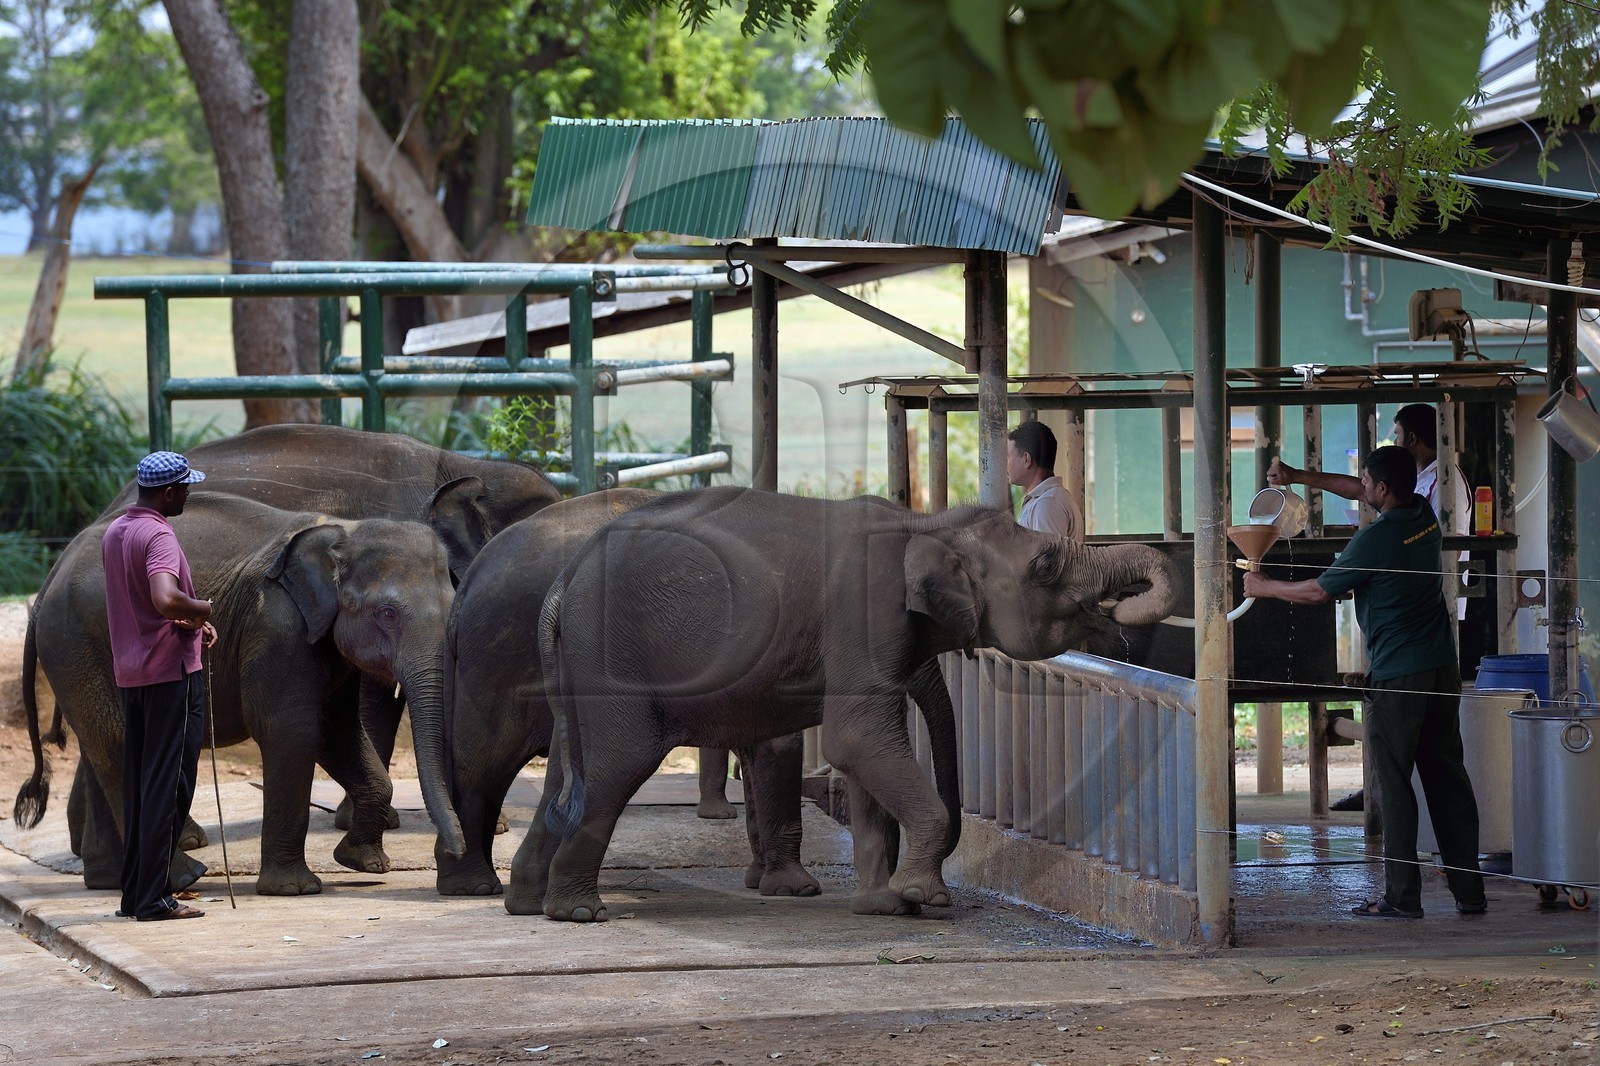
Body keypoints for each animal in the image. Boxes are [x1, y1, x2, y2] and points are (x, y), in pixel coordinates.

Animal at [13, 493, 458, 896]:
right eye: (387, 613)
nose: (453, 852)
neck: (346, 529)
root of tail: (51, 575)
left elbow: (338, 730)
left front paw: (365, 863)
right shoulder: (276, 628)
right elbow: (293, 731)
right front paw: (294, 890)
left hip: (79, 650)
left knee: (101, 742)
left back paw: (108, 881)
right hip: (75, 639)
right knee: (121, 741)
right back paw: (183, 878)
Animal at [431, 488, 963, 903]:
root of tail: (469, 581)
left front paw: (763, 882)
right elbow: (780, 744)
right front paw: (795, 890)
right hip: (504, 659)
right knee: (484, 762)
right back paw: (473, 886)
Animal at [517, 487, 1177, 922]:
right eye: (1045, 564)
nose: (1120, 615)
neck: (925, 522)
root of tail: (562, 584)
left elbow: (865, 756)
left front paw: (883, 904)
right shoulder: (864, 614)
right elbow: (856, 738)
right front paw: (925, 899)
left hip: (576, 665)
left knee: (567, 774)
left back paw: (527, 901)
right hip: (611, 658)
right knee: (618, 764)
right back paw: (578, 912)